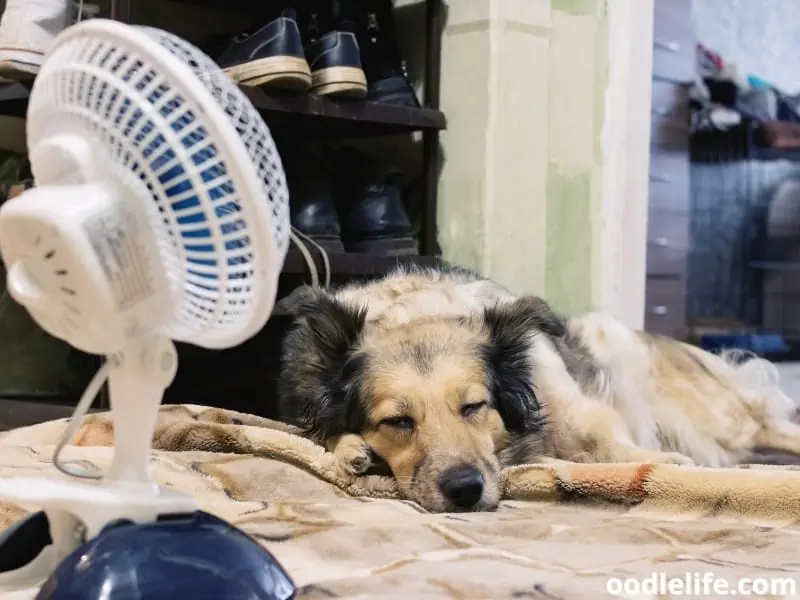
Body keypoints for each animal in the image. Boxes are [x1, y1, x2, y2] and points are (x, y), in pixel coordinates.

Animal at [276, 264, 800, 512]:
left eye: (475, 406)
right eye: (398, 421)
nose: (465, 491)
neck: (419, 311)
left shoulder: (572, 408)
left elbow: (608, 437)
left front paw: (662, 465)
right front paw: (352, 451)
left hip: (704, 411)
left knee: (769, 427)